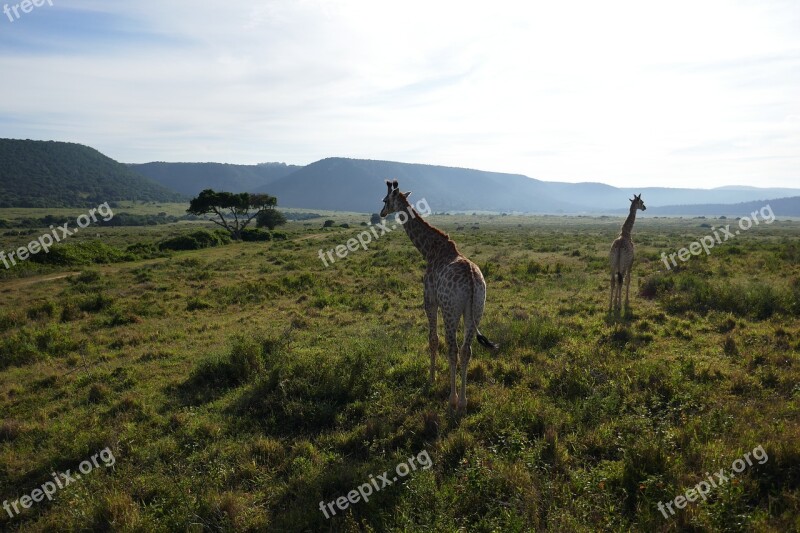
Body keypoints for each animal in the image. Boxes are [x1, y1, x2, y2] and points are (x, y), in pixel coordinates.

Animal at [380, 179, 496, 408]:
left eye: (385, 200)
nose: (381, 213)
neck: (429, 250)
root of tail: (472, 280)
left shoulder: (430, 300)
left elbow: (433, 339)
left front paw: (431, 378)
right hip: (476, 309)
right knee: (466, 350)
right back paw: (463, 401)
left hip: (451, 311)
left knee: (453, 349)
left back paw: (453, 398)